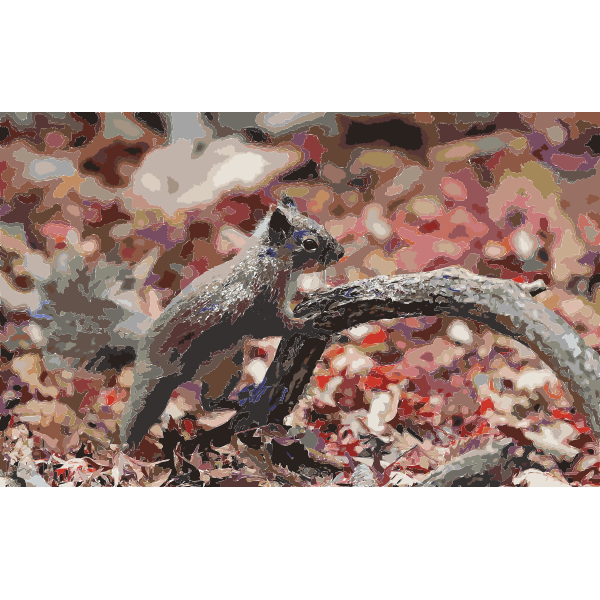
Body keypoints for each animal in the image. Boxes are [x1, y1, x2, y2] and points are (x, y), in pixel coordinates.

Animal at [120, 195, 344, 452]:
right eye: (309, 243)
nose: (341, 253)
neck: (269, 259)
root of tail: (143, 355)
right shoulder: (259, 305)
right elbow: (272, 325)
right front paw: (305, 325)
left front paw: (315, 291)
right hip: (158, 386)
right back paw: (125, 454)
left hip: (228, 366)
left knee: (209, 403)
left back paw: (238, 401)